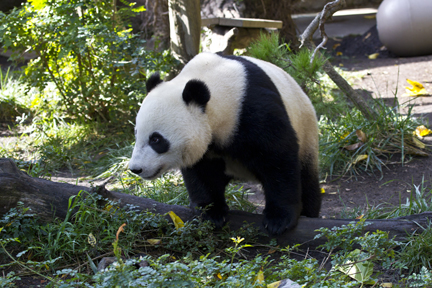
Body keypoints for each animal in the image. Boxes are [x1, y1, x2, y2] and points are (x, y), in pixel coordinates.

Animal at [128, 53, 320, 235]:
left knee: (307, 179)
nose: (136, 168)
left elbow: (277, 158)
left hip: (306, 131)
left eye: (156, 139)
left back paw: (309, 213)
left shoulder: (253, 108)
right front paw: (211, 212)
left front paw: (278, 220)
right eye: (136, 133)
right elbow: (202, 172)